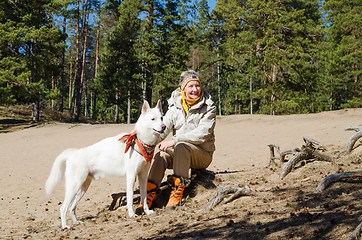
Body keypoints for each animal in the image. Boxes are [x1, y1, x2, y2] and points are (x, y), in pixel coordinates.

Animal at [45, 99, 165, 229]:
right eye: (153, 119)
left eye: (161, 118)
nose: (164, 127)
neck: (141, 142)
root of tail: (73, 153)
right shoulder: (131, 176)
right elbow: (129, 199)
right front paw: (132, 214)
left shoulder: (143, 176)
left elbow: (144, 197)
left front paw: (147, 212)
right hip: (74, 186)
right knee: (63, 208)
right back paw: (65, 226)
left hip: (83, 188)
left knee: (72, 207)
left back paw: (76, 222)